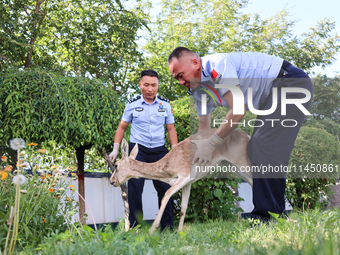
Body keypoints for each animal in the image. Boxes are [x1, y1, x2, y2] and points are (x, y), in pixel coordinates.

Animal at [107, 128, 251, 234]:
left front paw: (152, 229)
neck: (166, 169)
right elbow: (183, 207)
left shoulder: (185, 175)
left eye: (116, 165)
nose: (111, 181)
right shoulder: (189, 183)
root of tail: (248, 136)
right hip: (234, 168)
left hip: (242, 162)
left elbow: (166, 194)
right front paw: (179, 233)